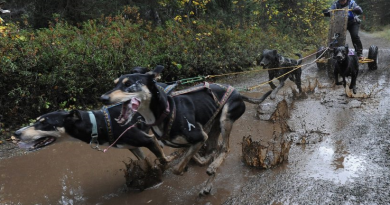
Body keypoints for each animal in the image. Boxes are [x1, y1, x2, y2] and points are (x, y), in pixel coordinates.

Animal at [100, 66, 272, 195]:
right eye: (115, 84)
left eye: (128, 84)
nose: (103, 98)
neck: (166, 111)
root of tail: (238, 92)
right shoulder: (192, 141)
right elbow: (185, 157)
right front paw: (195, 161)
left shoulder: (199, 136)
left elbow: (177, 169)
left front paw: (186, 167)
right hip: (213, 127)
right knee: (215, 149)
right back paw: (208, 181)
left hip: (225, 120)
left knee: (225, 148)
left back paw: (213, 167)